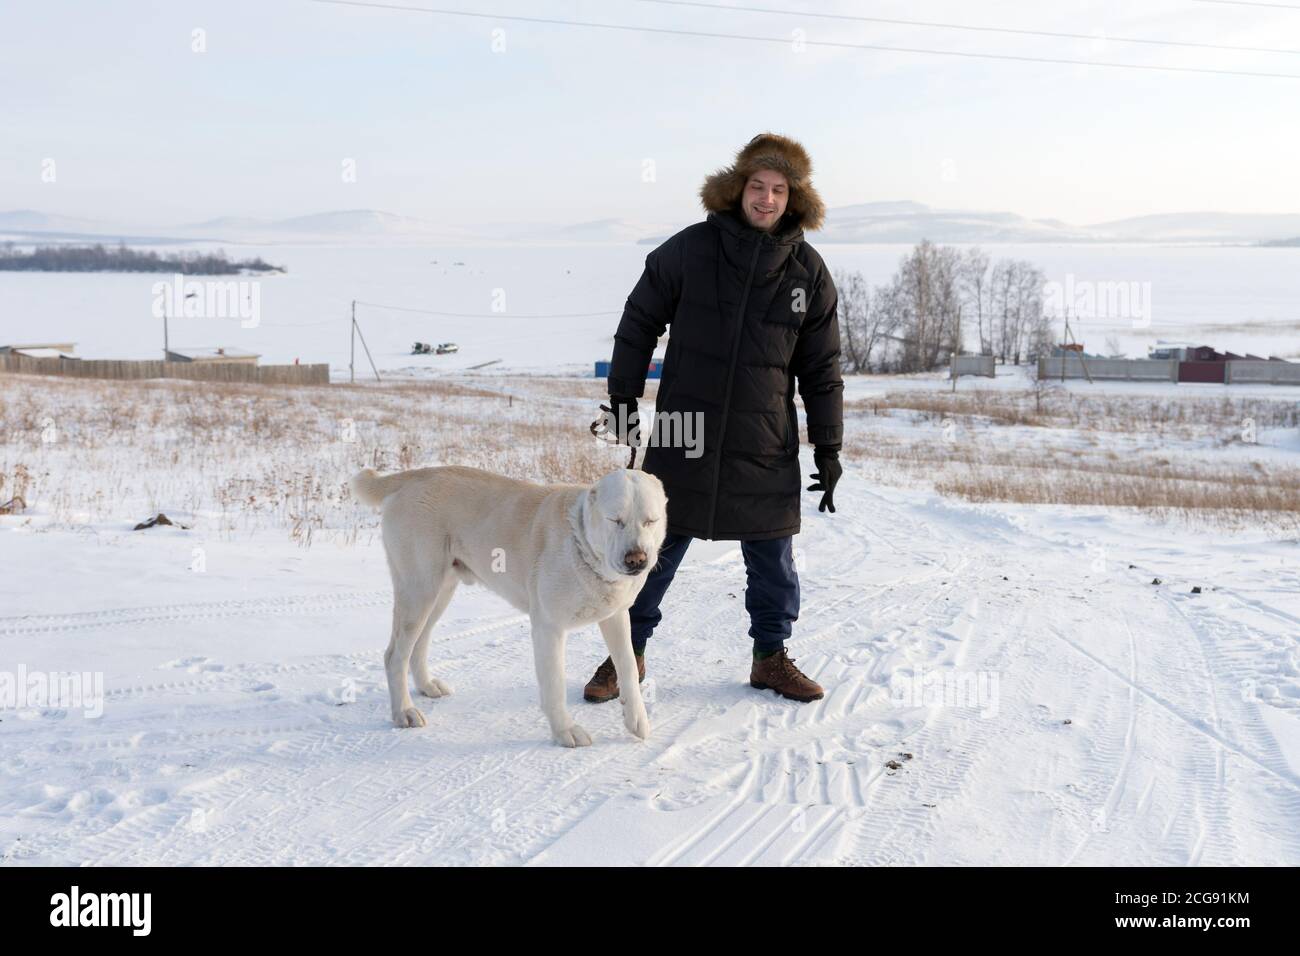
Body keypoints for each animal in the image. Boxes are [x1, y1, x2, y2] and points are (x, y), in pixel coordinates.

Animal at [351, 463, 665, 749]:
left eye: (651, 521)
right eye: (615, 520)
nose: (636, 559)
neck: (582, 545)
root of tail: (414, 475)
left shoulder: (616, 617)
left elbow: (628, 666)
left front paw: (637, 719)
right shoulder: (548, 628)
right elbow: (555, 685)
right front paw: (565, 731)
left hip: (439, 593)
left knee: (420, 643)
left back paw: (427, 686)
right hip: (419, 590)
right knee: (395, 655)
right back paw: (404, 711)